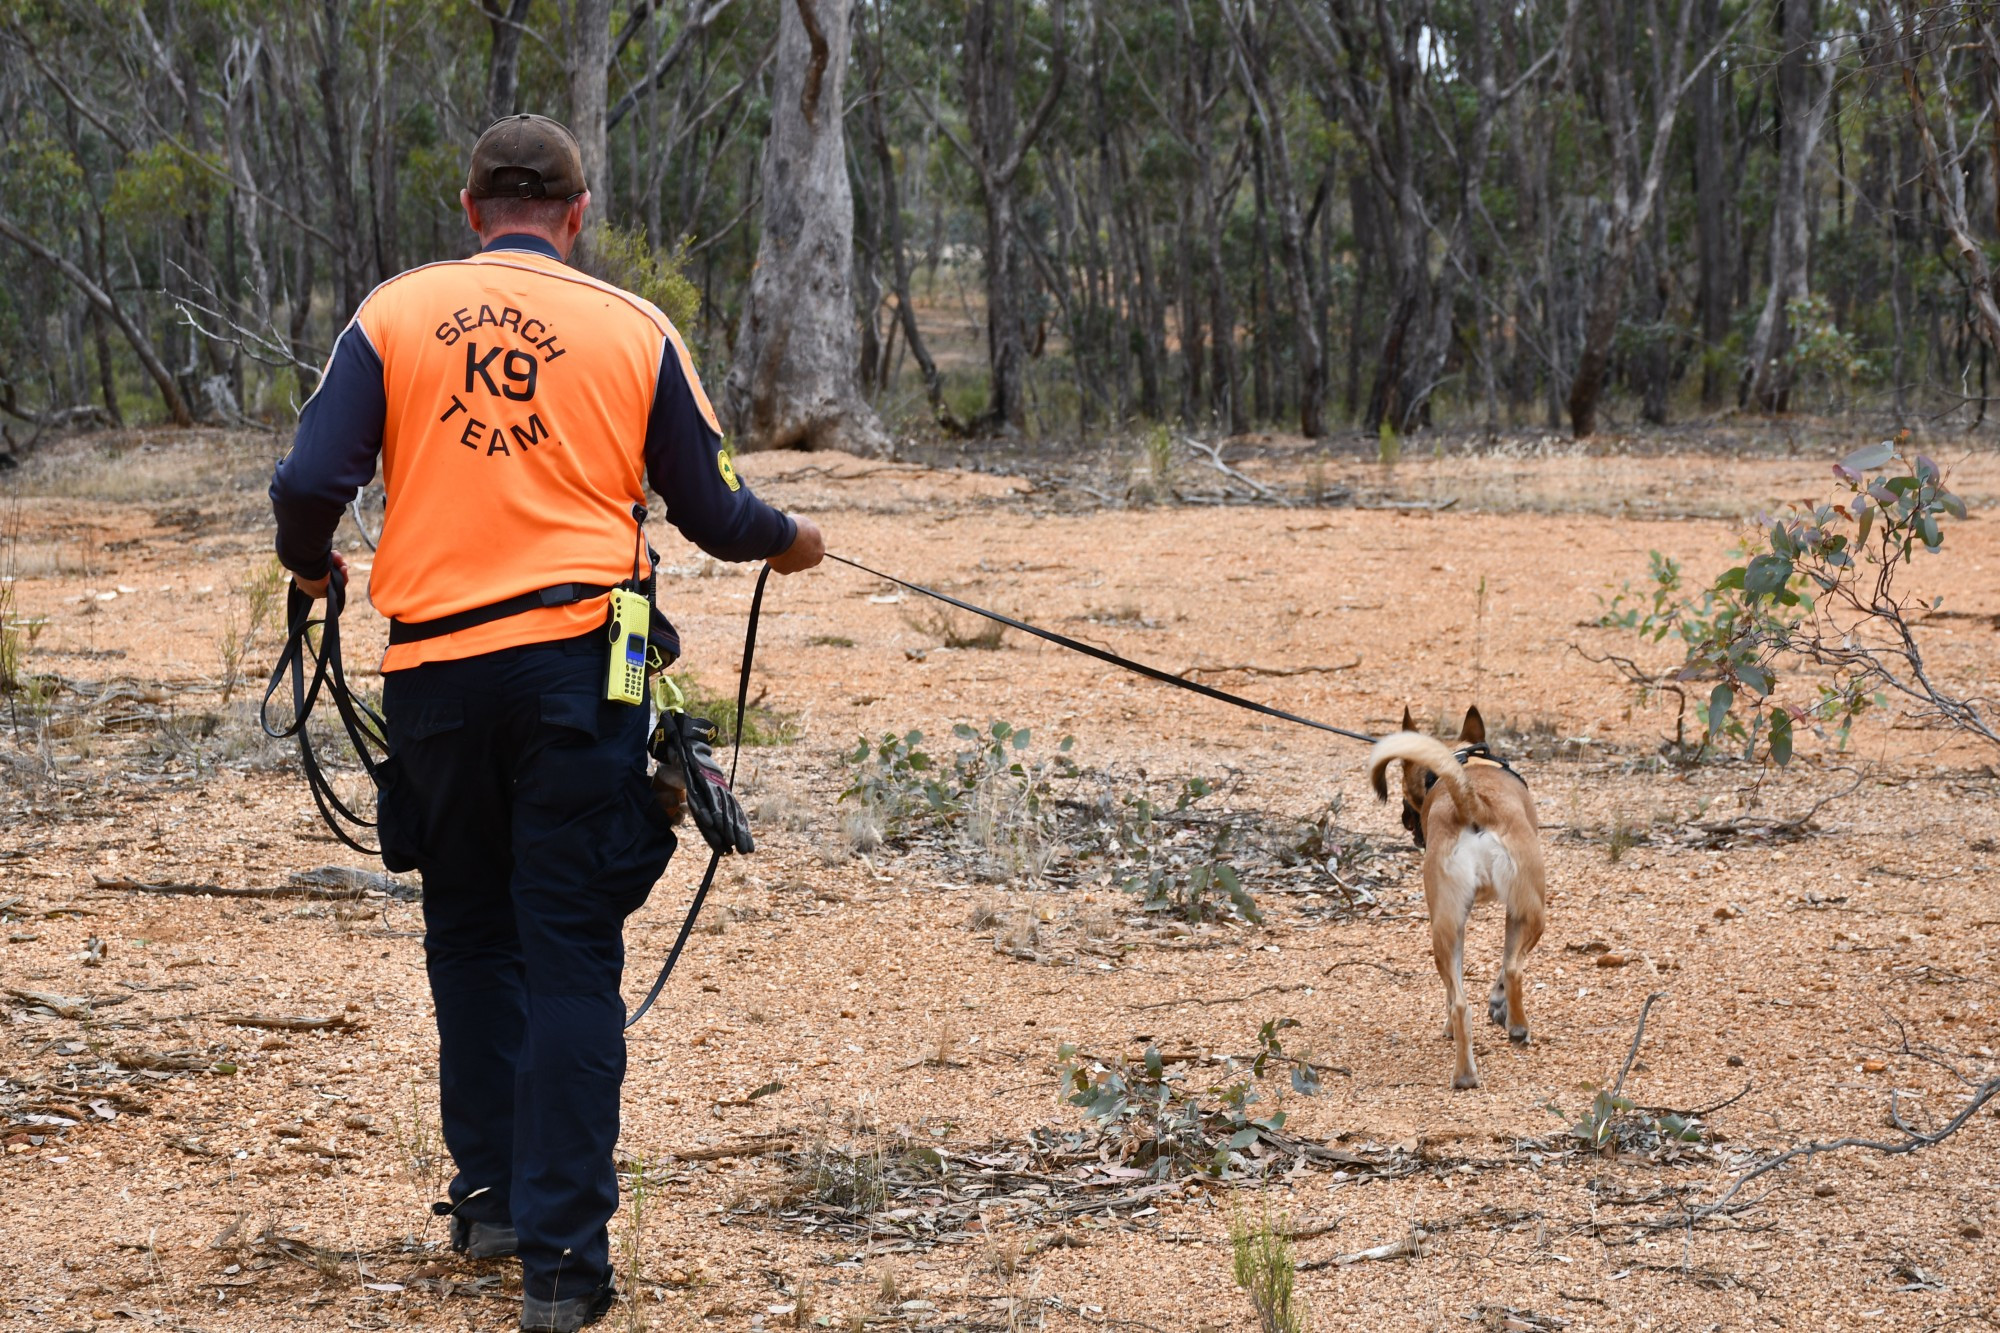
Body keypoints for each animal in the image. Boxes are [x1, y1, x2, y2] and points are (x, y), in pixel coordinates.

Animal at [1376, 700, 1544, 1088]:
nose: (1406, 822)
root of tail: (1472, 802)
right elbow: (1505, 965)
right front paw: (1499, 1004)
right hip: (1530, 915)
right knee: (1511, 970)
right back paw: (1516, 1028)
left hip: (1448, 928)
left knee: (1462, 1001)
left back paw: (1466, 1072)